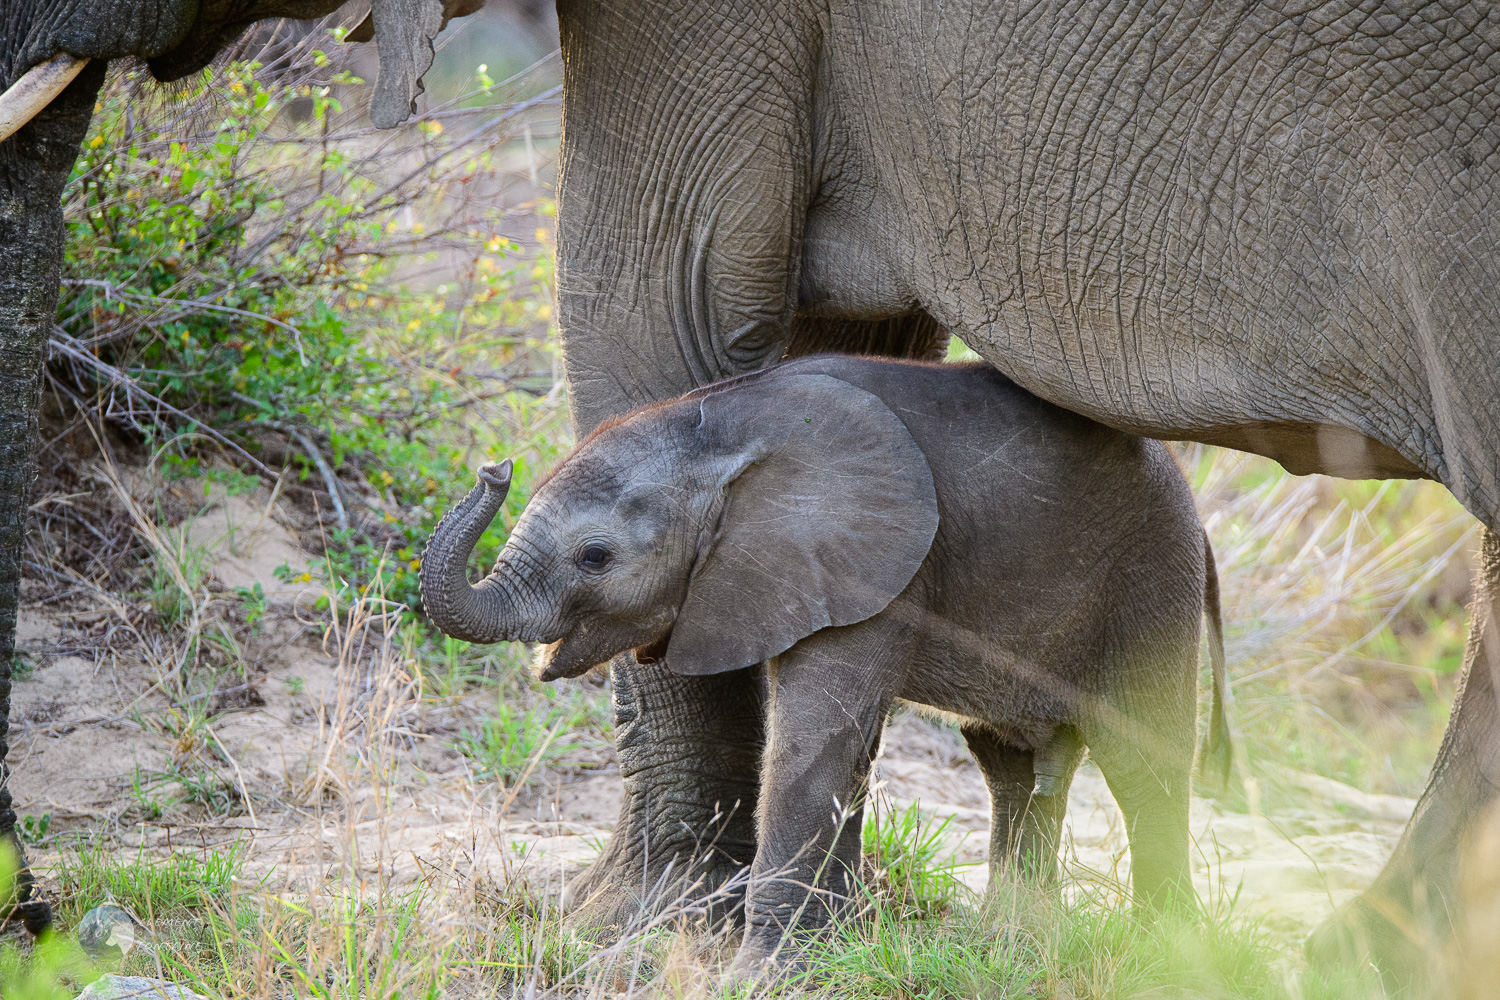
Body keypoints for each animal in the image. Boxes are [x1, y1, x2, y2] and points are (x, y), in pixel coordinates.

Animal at [423, 353, 1230, 977]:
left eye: (595, 557)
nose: (493, 468)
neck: (716, 428)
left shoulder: (879, 568)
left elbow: (813, 740)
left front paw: (764, 977)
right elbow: (847, 747)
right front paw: (833, 953)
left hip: (1152, 575)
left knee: (1141, 757)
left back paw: (1163, 951)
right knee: (1007, 761)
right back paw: (1012, 941)